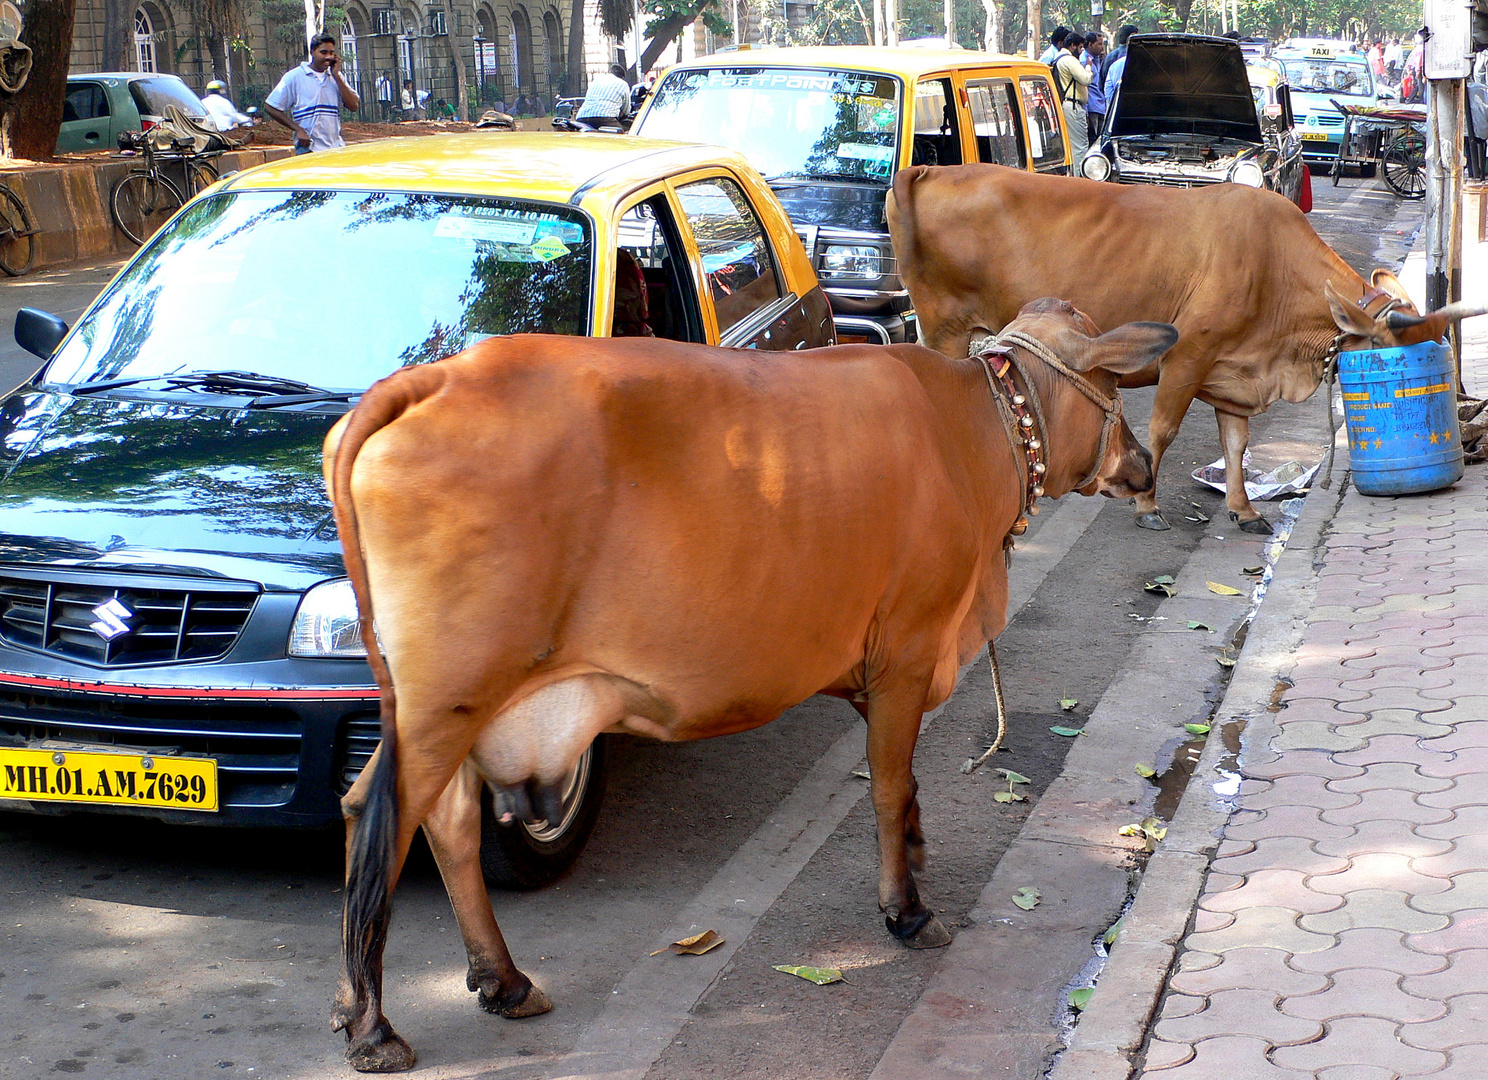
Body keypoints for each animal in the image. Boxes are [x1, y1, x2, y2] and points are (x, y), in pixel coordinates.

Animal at [322, 304, 1172, 1077]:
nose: (1143, 463)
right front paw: (905, 908)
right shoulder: (908, 646)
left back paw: (500, 981)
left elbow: (905, 782)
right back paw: (374, 1025)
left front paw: (917, 849)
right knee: (387, 816)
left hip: (453, 705)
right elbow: (888, 782)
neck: (970, 433)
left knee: (440, 822)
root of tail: (433, 378)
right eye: (1112, 385)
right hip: (450, 699)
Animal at [886, 167, 1482, 535]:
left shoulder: (1230, 371)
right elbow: (1161, 433)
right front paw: (1147, 503)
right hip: (943, 327)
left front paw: (1244, 510)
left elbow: (1237, 444)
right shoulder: (1186, 358)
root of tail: (928, 171)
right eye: (1388, 345)